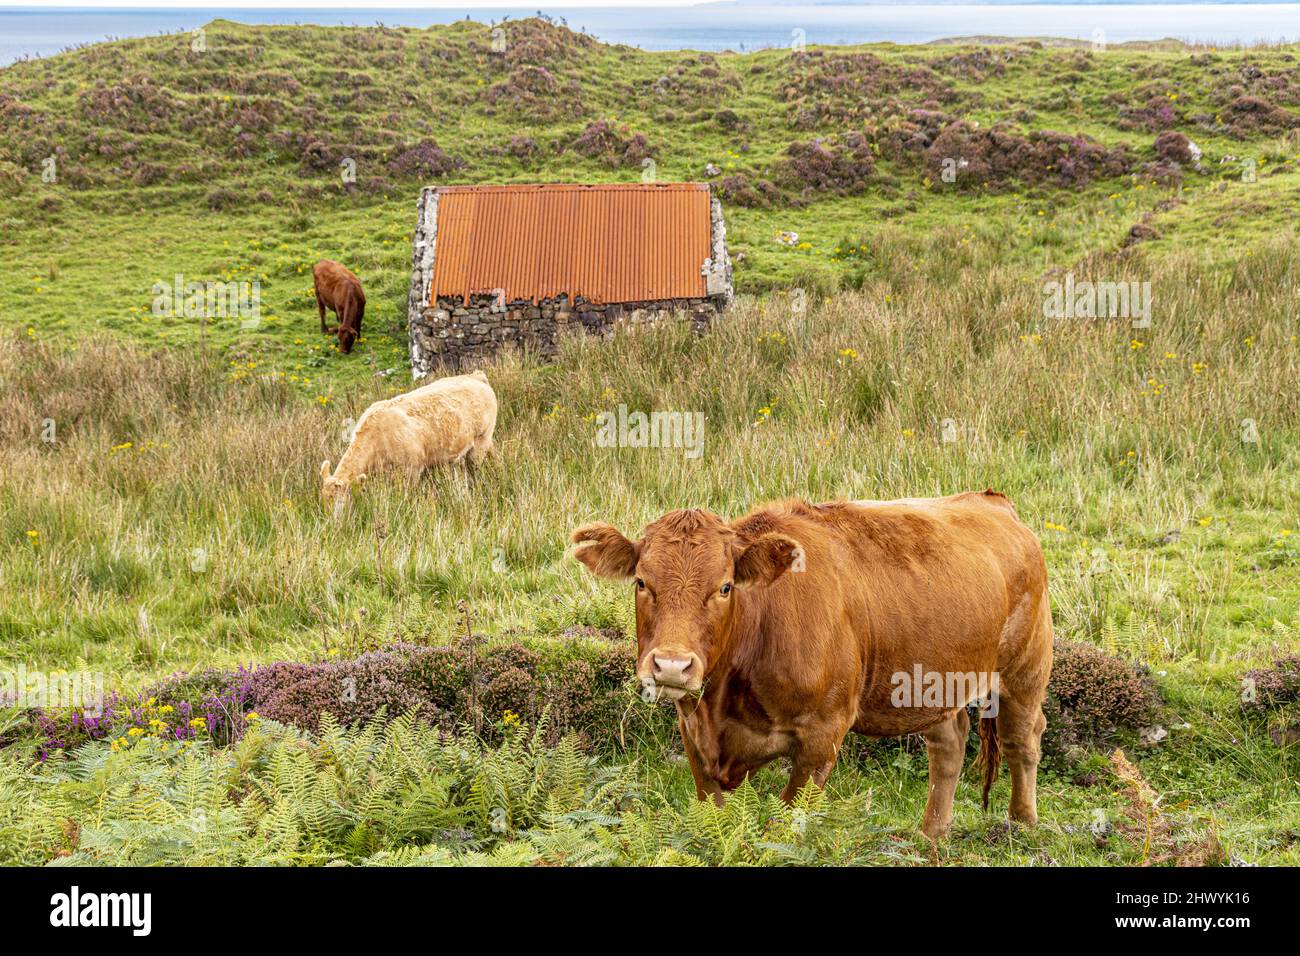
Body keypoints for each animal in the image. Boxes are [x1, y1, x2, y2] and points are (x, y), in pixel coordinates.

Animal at [574, 494, 1050, 837]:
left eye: (725, 587)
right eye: (641, 582)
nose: (672, 666)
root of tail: (992, 501)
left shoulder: (823, 734)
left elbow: (784, 825)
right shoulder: (693, 735)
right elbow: (716, 815)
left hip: (1025, 669)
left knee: (1022, 739)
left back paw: (1022, 824)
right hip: (935, 682)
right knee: (948, 746)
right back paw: (932, 834)